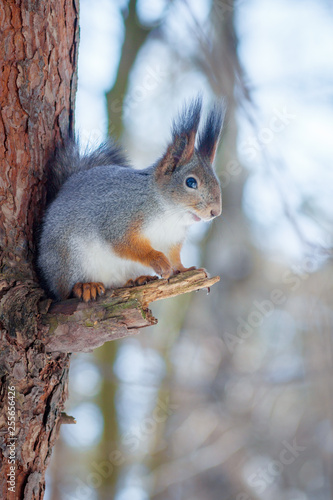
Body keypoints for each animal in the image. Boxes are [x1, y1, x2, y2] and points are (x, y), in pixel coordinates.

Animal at [38, 96, 223, 302]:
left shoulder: (171, 240)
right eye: (191, 182)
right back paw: (85, 286)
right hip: (68, 257)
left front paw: (184, 269)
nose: (216, 212)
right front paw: (157, 259)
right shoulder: (119, 218)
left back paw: (136, 280)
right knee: (64, 292)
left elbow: (175, 258)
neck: (169, 214)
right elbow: (125, 244)